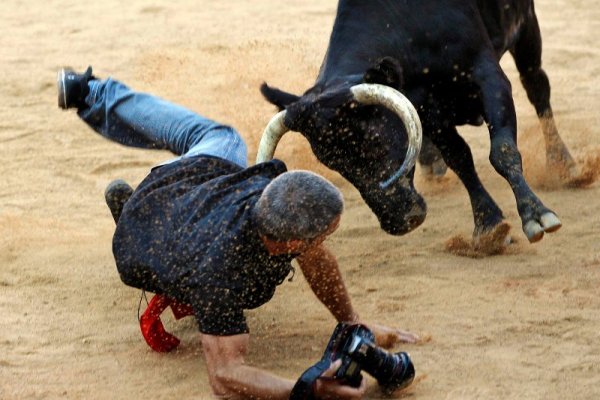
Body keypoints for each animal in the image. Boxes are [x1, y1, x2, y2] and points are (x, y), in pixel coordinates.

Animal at [258, 0, 576, 244]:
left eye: (375, 141)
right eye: (331, 162)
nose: (400, 220)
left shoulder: (488, 76)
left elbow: (502, 151)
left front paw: (536, 215)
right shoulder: (427, 111)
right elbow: (460, 159)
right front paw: (489, 225)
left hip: (527, 30)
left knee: (537, 87)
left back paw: (564, 164)